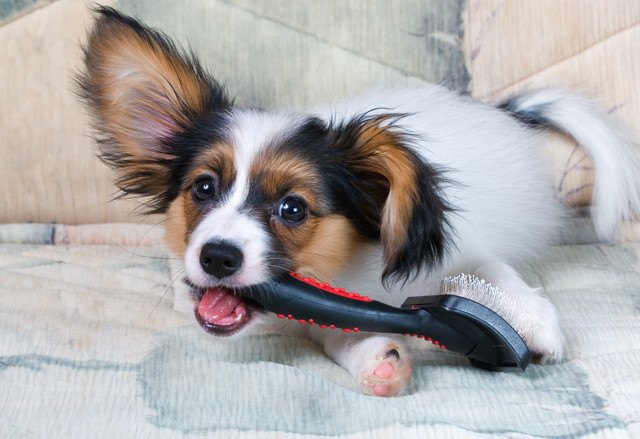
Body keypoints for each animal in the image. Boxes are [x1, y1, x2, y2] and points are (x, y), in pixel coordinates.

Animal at [79, 6, 640, 398]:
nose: (217, 256)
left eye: (293, 208)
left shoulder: (465, 250)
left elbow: (494, 272)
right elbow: (342, 331)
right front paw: (378, 358)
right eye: (202, 189)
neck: (349, 272)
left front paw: (536, 322)